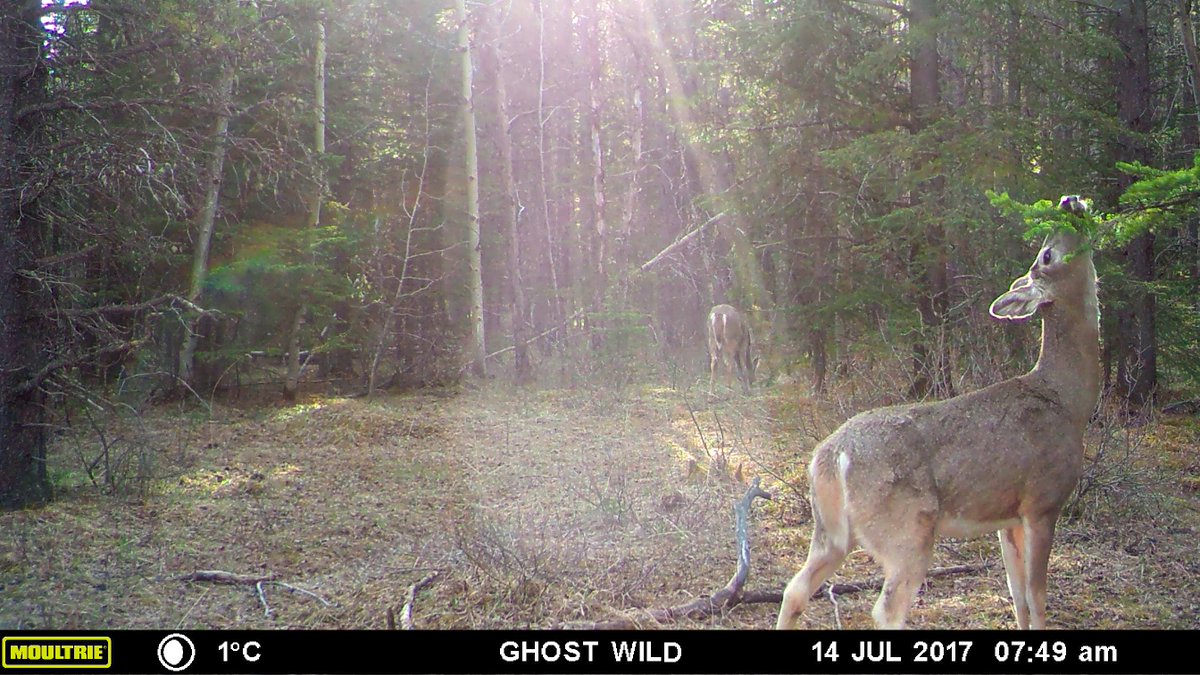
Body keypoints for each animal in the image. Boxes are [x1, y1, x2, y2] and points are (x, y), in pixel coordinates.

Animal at [772, 195, 1099, 629]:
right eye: (1045, 254)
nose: (1068, 200)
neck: (1067, 398)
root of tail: (831, 456)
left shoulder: (1008, 518)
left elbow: (1018, 598)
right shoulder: (1042, 501)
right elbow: (1038, 597)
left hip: (831, 532)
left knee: (794, 590)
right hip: (908, 527)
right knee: (887, 608)